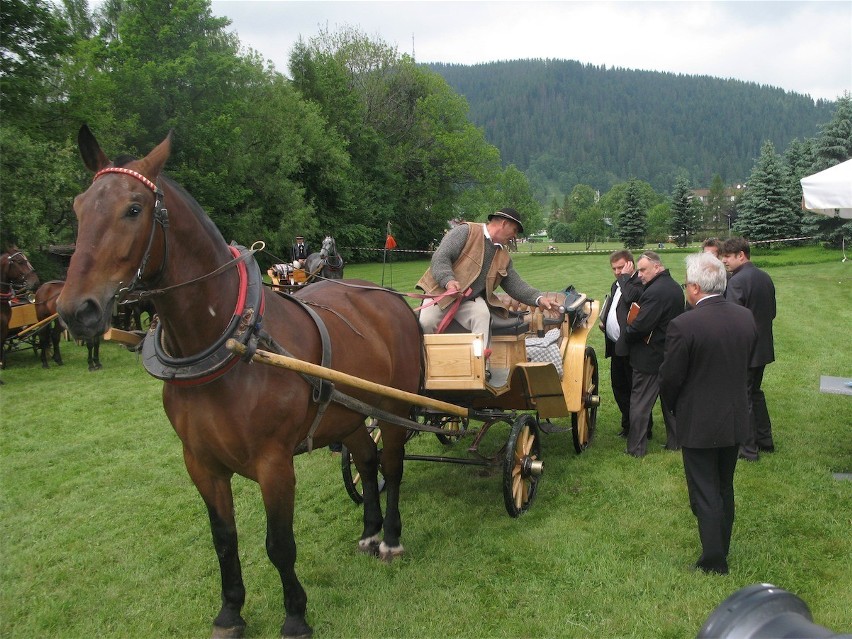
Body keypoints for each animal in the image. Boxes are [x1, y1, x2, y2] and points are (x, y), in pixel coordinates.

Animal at [56, 126, 422, 639]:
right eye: (79, 206)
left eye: (134, 208)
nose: (76, 311)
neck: (229, 344)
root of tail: (387, 296)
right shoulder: (201, 463)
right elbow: (224, 540)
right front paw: (230, 611)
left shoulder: (274, 464)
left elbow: (279, 544)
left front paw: (295, 615)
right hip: (347, 414)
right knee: (367, 464)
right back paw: (369, 532)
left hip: (393, 410)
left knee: (391, 465)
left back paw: (389, 538)